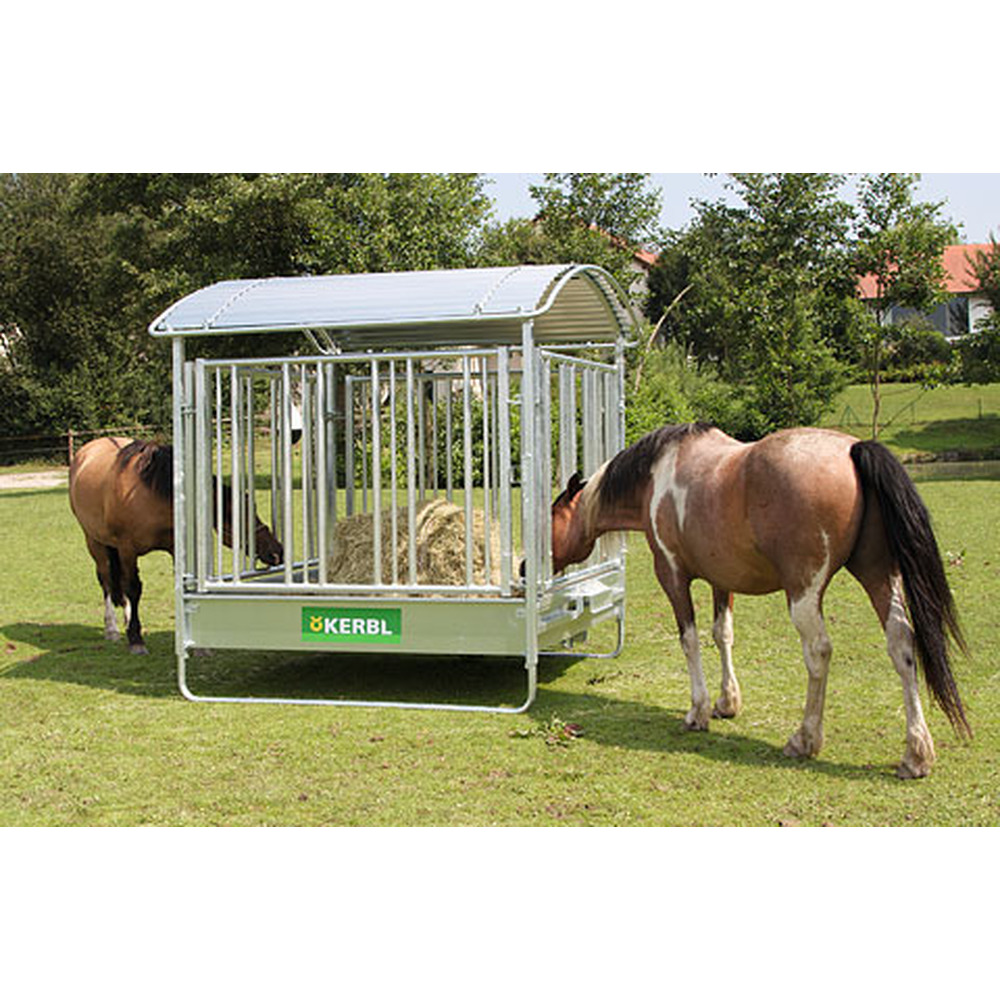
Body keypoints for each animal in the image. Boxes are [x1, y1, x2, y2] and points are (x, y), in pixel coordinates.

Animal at [69, 437, 283, 654]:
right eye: (240, 518)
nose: (276, 552)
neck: (148, 494)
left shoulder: (174, 548)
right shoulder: (127, 549)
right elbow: (133, 588)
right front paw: (136, 639)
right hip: (94, 542)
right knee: (106, 581)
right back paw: (111, 628)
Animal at [549, 423, 970, 778]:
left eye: (551, 516)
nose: (536, 566)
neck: (655, 478)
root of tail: (853, 449)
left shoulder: (671, 576)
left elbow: (689, 640)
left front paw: (698, 711)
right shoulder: (722, 581)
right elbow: (722, 634)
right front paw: (727, 702)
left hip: (804, 594)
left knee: (818, 651)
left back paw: (805, 739)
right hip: (878, 576)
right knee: (901, 644)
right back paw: (916, 754)